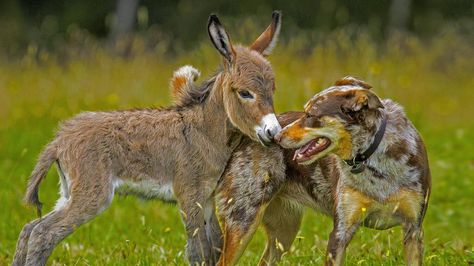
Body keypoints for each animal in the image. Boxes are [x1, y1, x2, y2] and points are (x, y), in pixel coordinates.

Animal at [169, 71, 430, 264]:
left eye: (311, 115)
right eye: (304, 111)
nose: (275, 137)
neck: (371, 161)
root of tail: (244, 136)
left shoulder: (413, 230)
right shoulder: (340, 231)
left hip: (284, 231)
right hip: (243, 221)